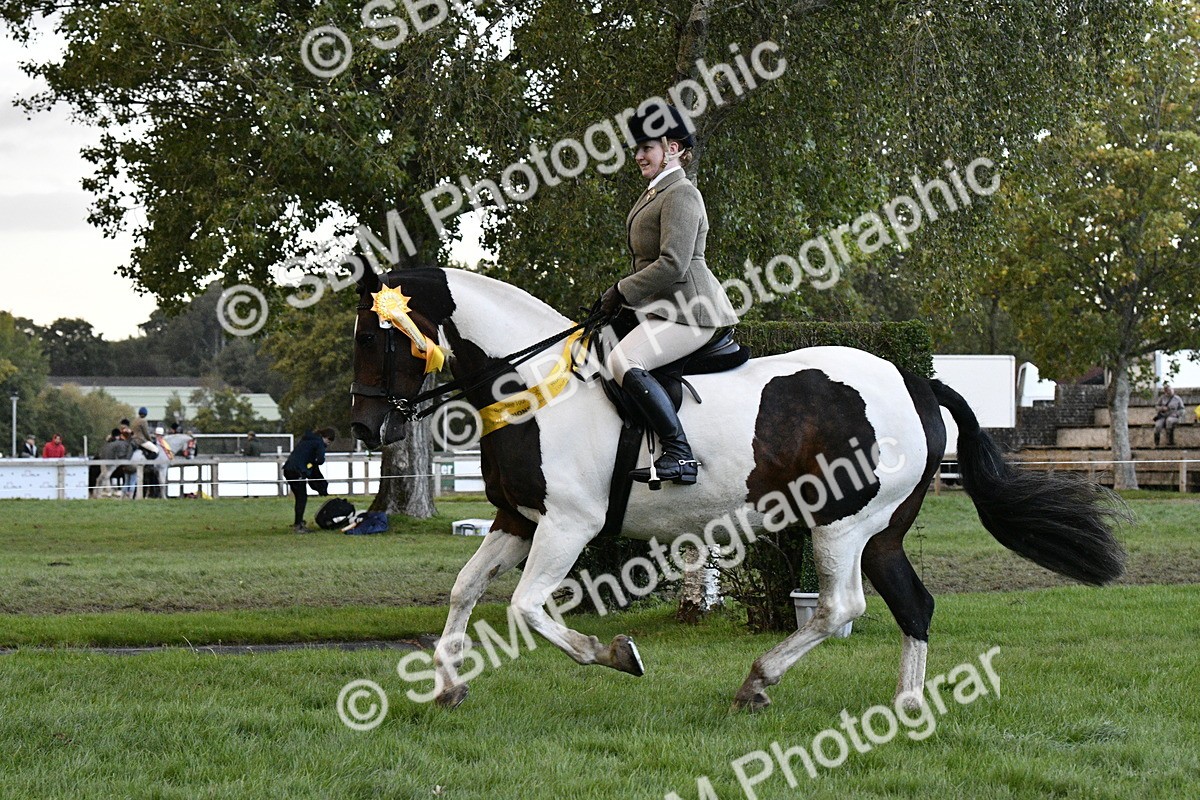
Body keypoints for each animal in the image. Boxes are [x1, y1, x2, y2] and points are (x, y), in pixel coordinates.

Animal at [349, 266, 1128, 711]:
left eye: (375, 337)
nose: (364, 427)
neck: (533, 387)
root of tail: (914, 380)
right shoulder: (519, 519)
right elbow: (464, 591)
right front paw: (448, 686)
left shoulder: (568, 524)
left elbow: (526, 609)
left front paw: (617, 655)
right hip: (881, 529)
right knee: (912, 603)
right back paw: (907, 706)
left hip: (841, 521)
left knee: (839, 607)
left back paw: (758, 681)